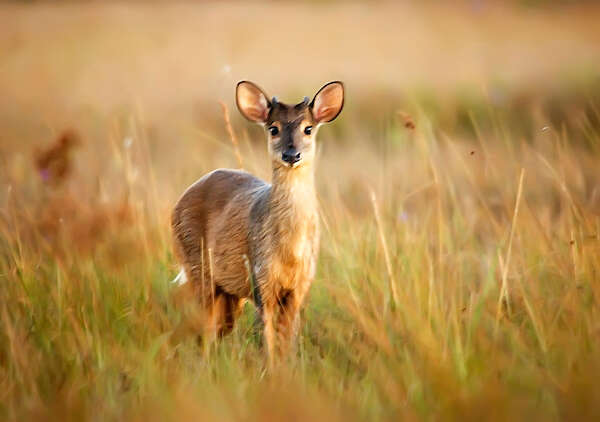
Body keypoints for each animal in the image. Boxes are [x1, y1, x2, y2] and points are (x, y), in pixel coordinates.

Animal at [171, 81, 344, 364]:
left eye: (308, 128)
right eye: (273, 128)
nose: (291, 154)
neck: (290, 252)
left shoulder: (300, 286)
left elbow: (288, 339)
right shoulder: (260, 279)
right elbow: (267, 339)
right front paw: (270, 369)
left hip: (228, 293)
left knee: (217, 329)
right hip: (197, 266)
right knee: (202, 330)